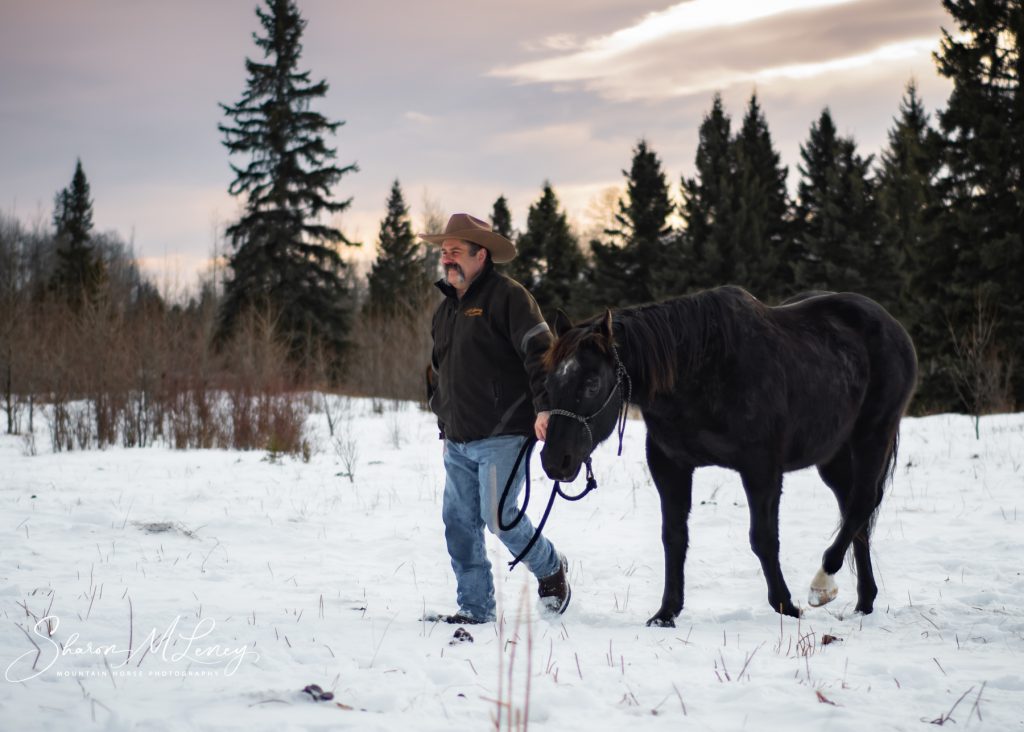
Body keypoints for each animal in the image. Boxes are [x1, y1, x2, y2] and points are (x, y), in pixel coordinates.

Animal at [540, 284, 917, 622]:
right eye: (550, 381)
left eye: (592, 384)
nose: (555, 461)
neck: (700, 370)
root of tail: (892, 326)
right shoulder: (670, 466)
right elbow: (674, 537)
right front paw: (666, 613)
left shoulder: (761, 469)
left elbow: (763, 538)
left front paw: (786, 605)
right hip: (832, 454)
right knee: (855, 512)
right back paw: (864, 602)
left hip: (872, 433)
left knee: (862, 501)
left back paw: (822, 586)